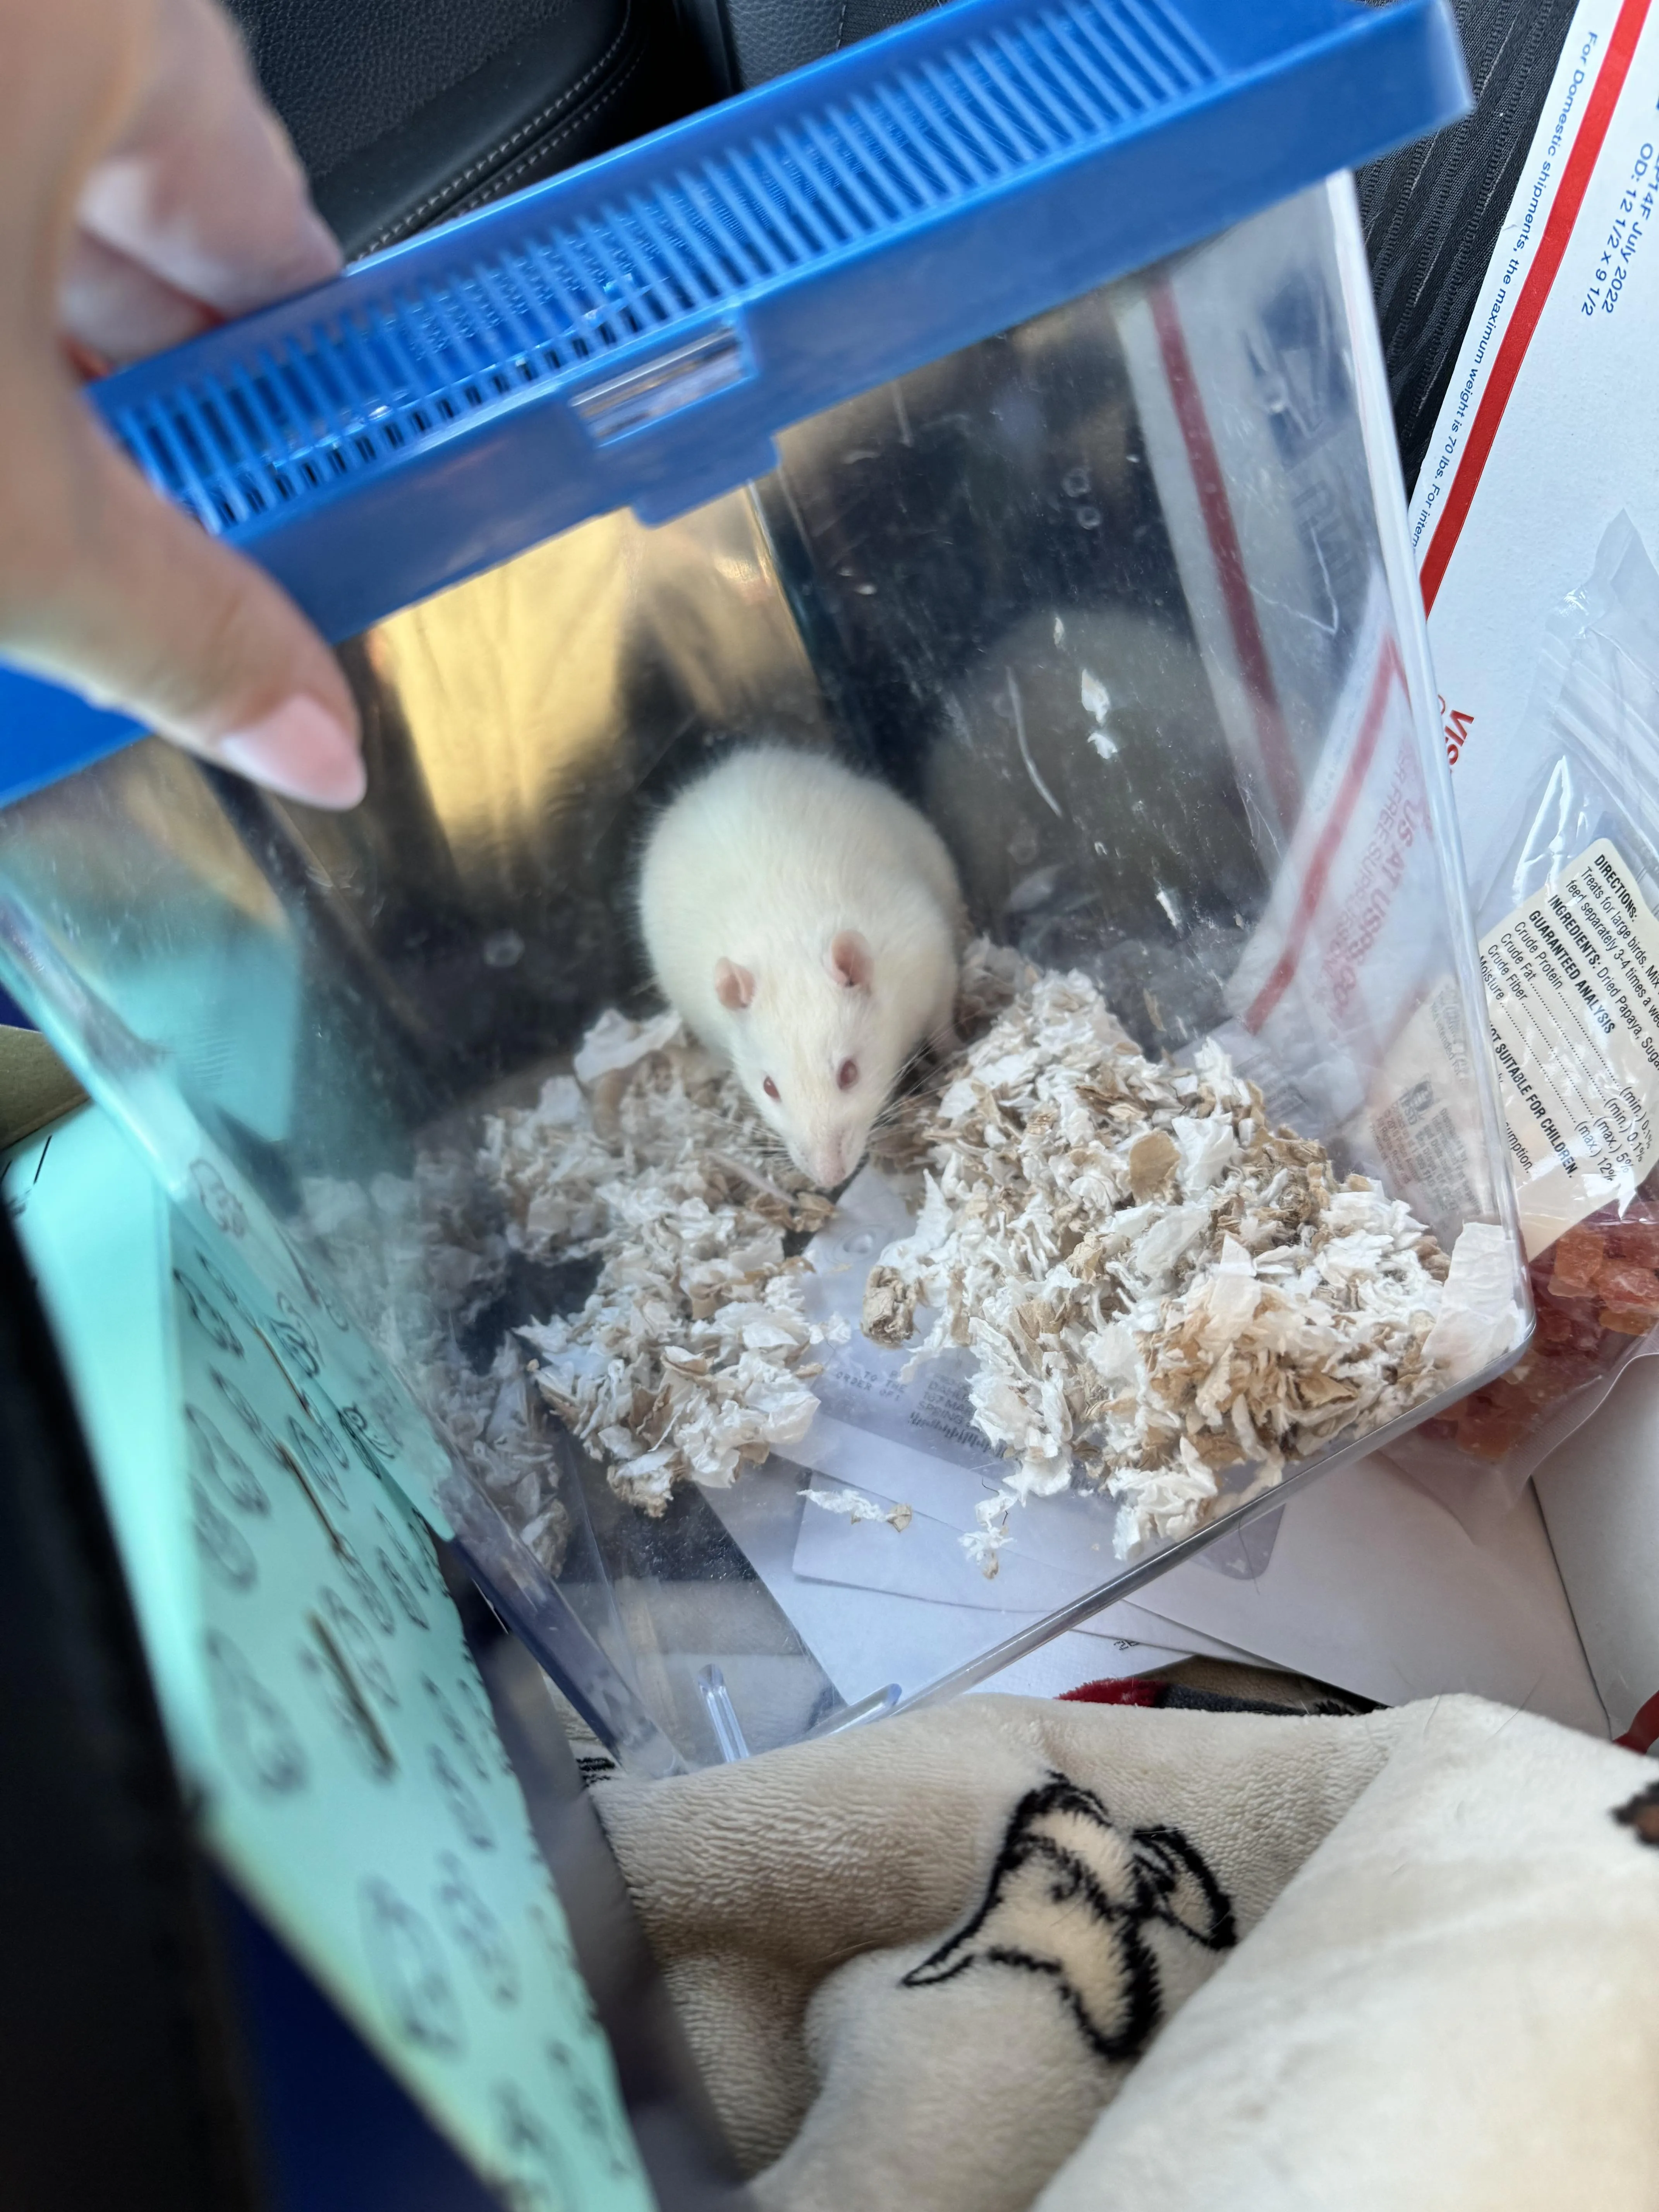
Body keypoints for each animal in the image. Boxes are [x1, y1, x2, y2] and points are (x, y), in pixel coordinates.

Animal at [637, 746, 964, 1189]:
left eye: (849, 1074)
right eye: (769, 1087)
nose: (829, 1179)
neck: (787, 944)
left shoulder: (928, 954)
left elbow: (942, 1015)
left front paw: (955, 1052)